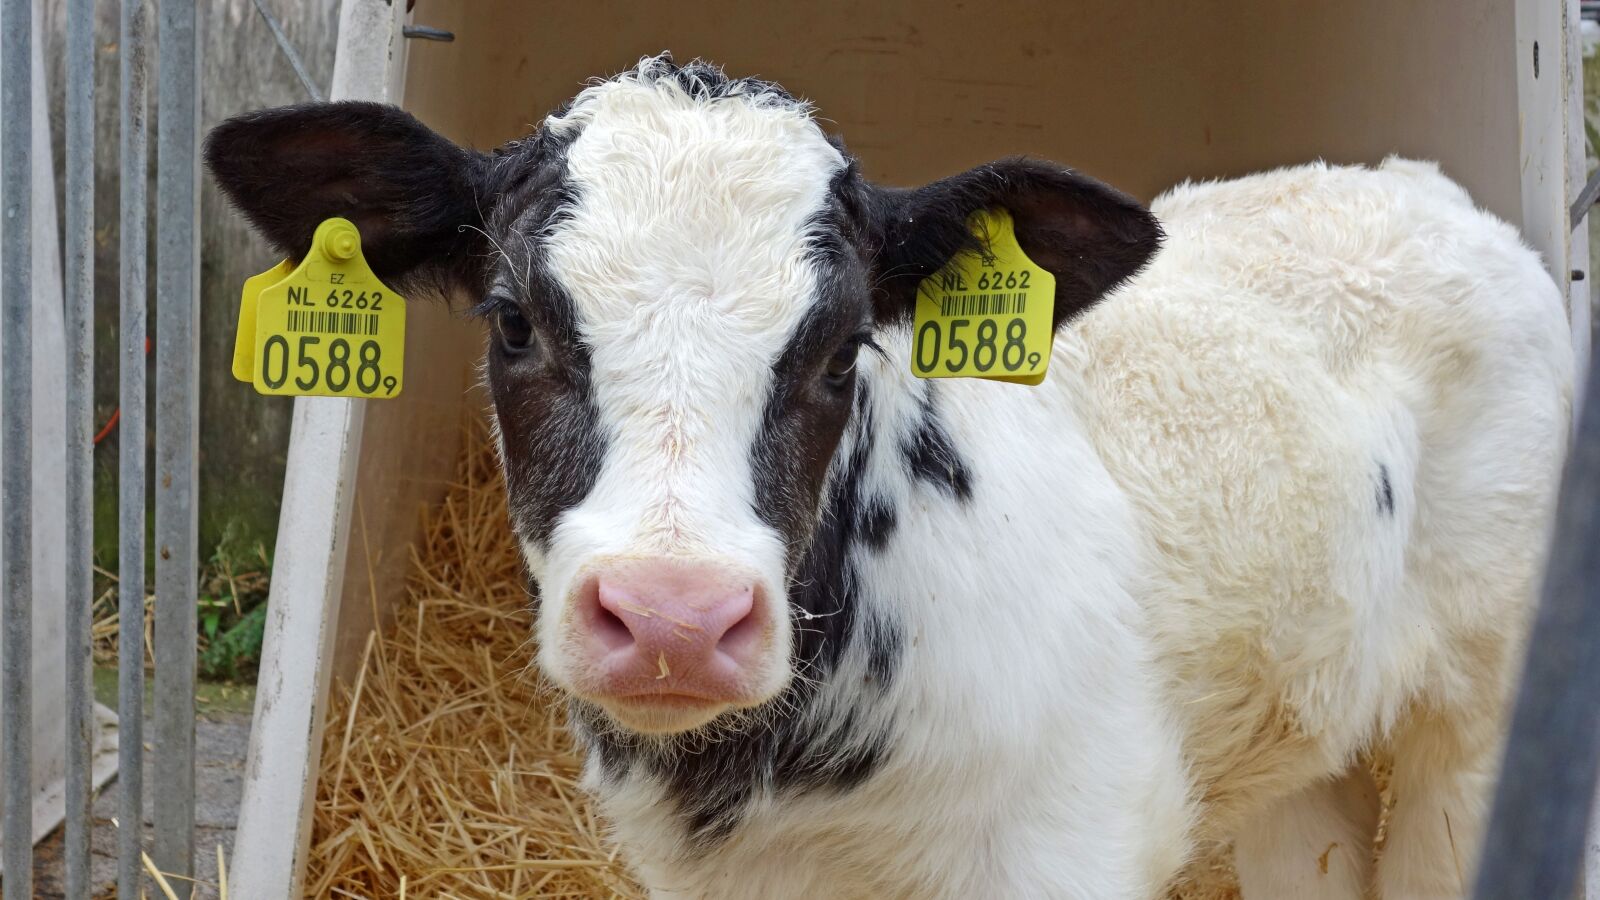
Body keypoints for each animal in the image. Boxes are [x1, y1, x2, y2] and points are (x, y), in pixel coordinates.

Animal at [205, 55, 1574, 899]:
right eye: (511, 322)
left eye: (840, 344)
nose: (673, 618)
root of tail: (1409, 185)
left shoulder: (1069, 842)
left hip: (1490, 704)